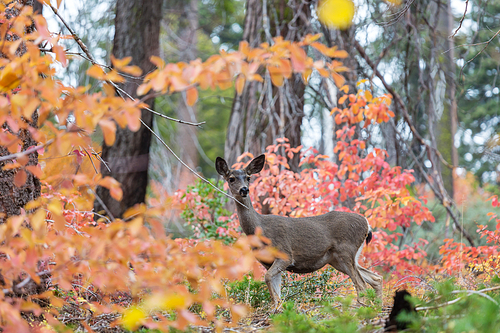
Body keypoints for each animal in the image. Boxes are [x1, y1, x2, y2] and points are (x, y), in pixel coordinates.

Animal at [215, 153, 382, 308]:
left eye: (248, 177)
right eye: (231, 178)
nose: (244, 189)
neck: (260, 229)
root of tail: (367, 224)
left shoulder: (285, 254)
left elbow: (267, 278)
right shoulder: (268, 262)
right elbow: (275, 290)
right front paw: (278, 310)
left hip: (346, 250)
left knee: (361, 284)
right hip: (337, 259)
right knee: (376, 278)